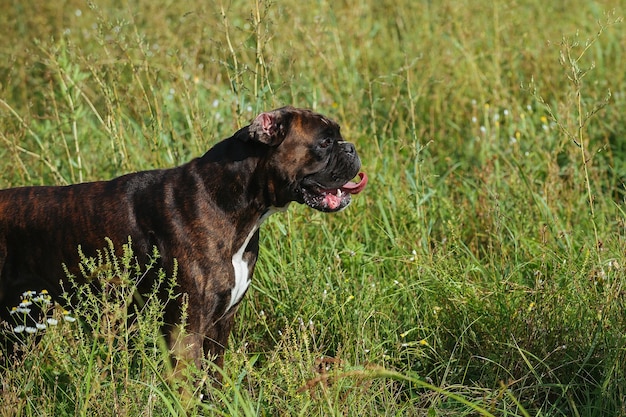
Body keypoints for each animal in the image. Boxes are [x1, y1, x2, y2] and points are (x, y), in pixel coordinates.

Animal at [0, 105, 366, 372]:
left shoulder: (219, 325)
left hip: (21, 329)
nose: (351, 147)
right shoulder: (184, 331)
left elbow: (213, 380)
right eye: (325, 142)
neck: (231, 202)